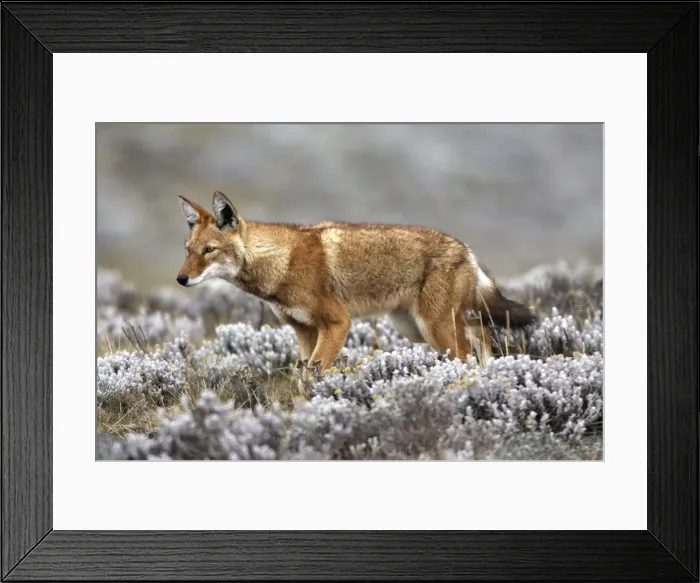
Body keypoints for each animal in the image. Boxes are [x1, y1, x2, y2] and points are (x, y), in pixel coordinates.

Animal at [176, 191, 536, 390]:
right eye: (188, 250)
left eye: (209, 251)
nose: (181, 279)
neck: (282, 262)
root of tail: (466, 249)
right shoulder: (304, 330)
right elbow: (302, 375)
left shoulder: (338, 323)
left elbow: (312, 376)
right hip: (417, 329)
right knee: (482, 331)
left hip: (434, 329)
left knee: (469, 353)